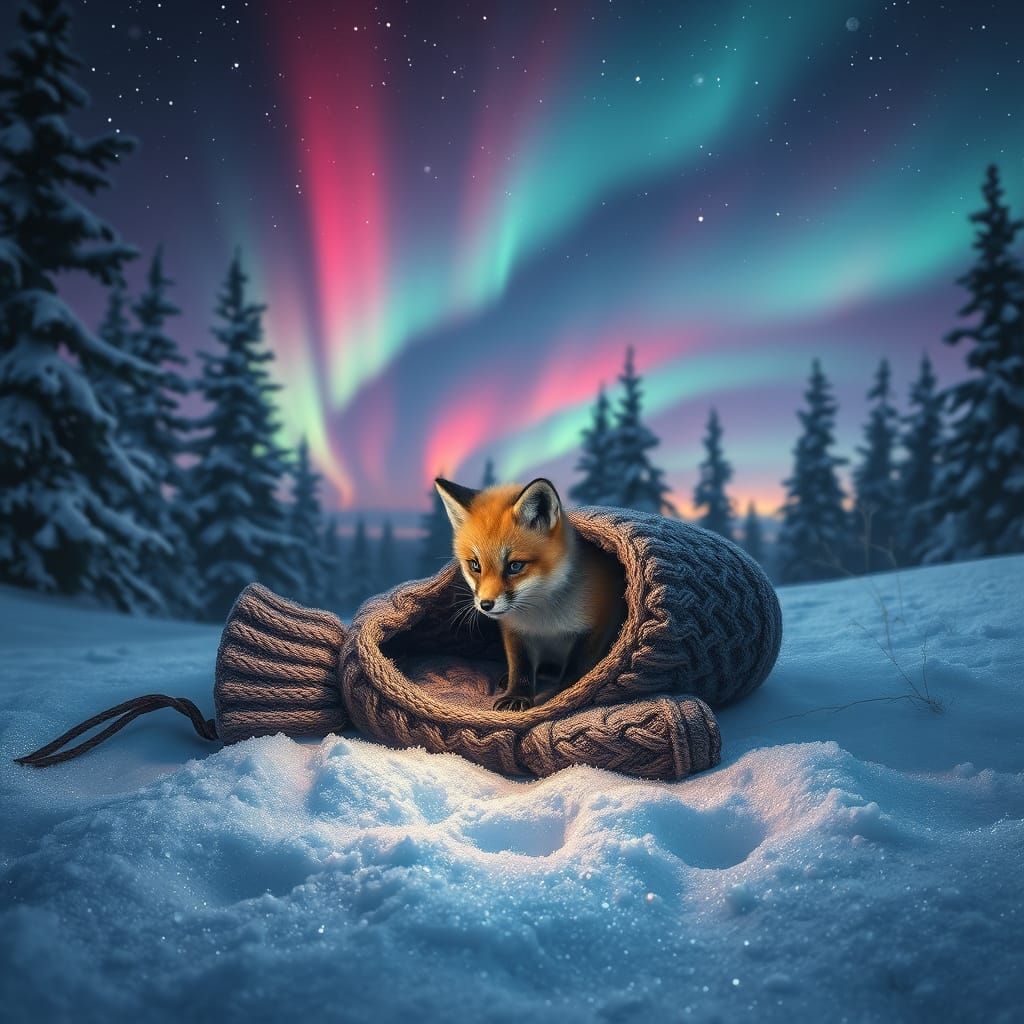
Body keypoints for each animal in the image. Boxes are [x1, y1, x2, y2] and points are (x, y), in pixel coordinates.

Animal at [434, 476, 627, 712]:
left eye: (515, 566)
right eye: (475, 565)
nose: (486, 604)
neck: (544, 620)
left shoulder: (598, 624)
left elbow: (575, 670)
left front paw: (562, 695)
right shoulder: (515, 631)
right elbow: (521, 668)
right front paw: (516, 695)